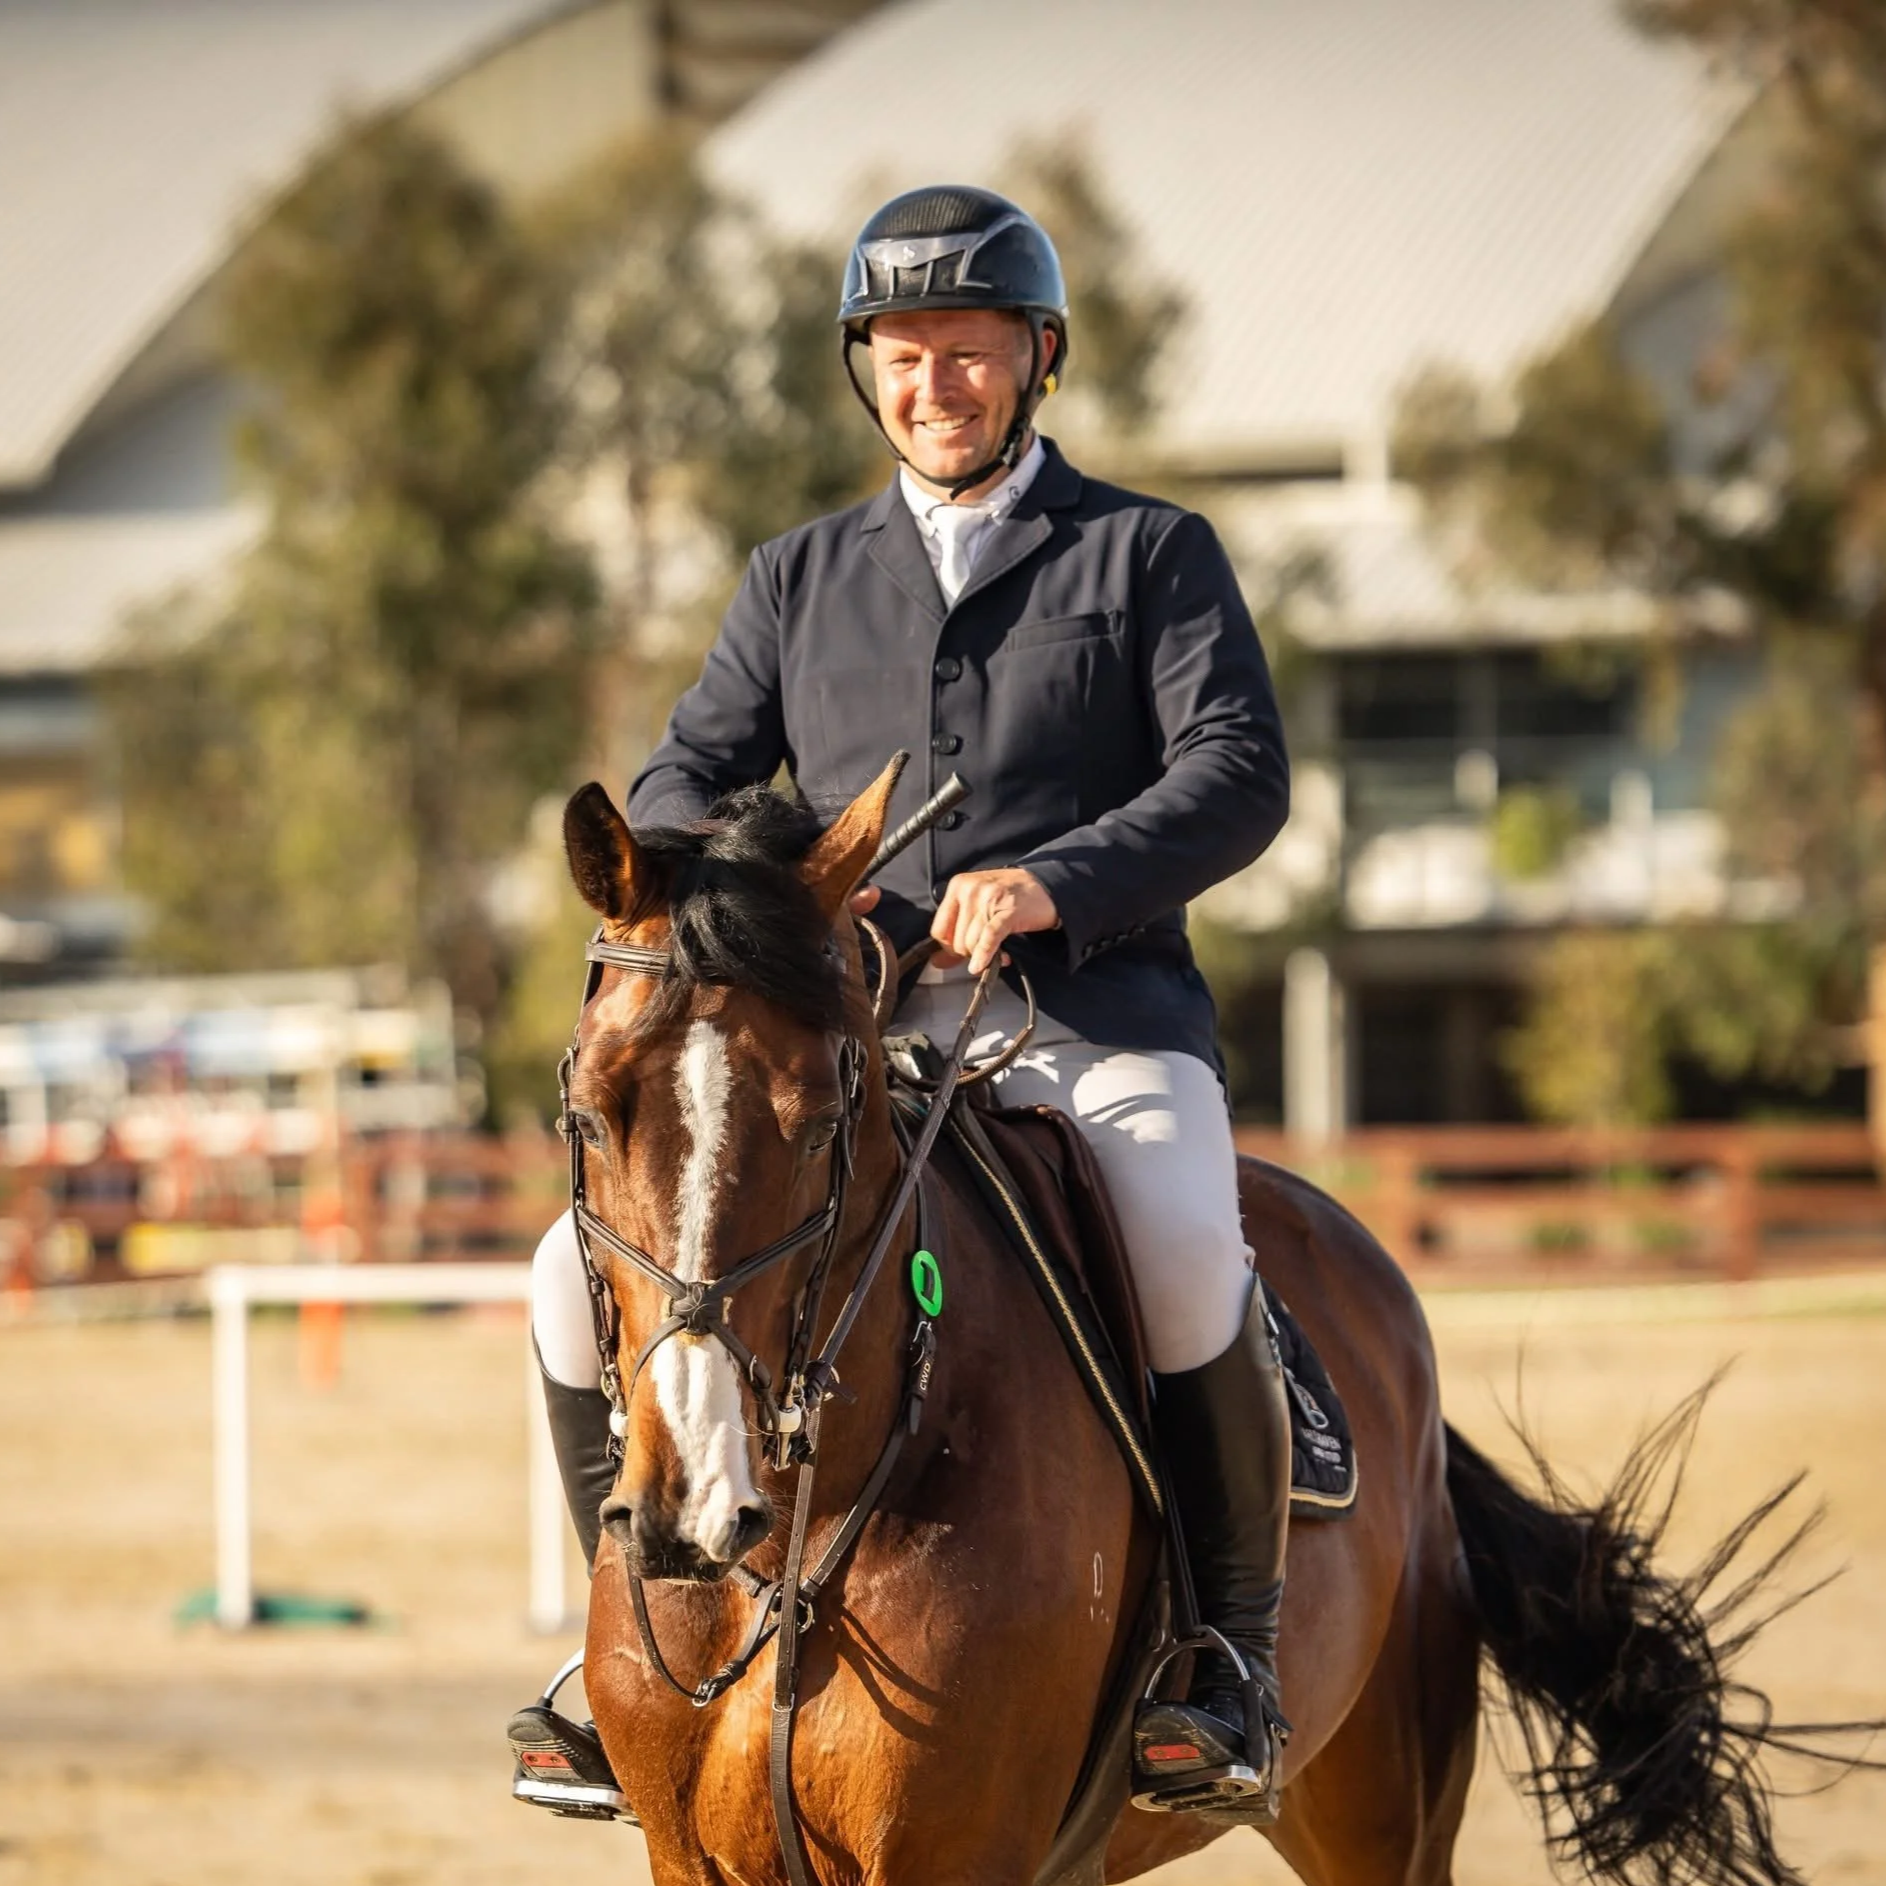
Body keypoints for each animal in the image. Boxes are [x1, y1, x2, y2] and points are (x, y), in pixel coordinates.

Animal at [558, 758, 1857, 1886]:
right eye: (584, 1108)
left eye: (827, 1113)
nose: (690, 1505)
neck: (795, 1538)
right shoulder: (693, 1856)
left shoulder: (958, 1854)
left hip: (1381, 1812)